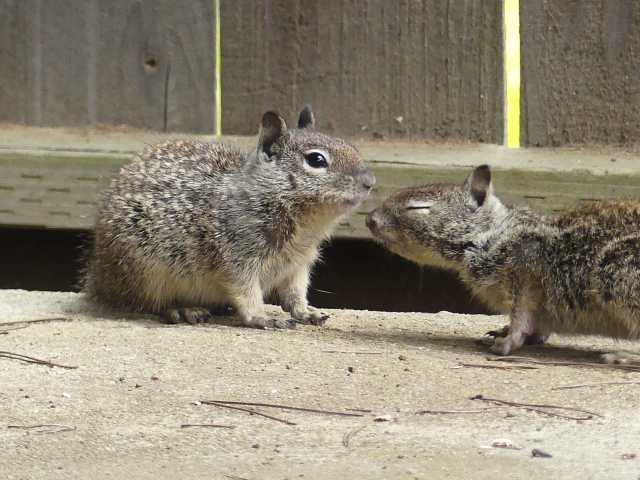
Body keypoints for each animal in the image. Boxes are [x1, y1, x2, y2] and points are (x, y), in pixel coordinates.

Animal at [83, 105, 375, 328]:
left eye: (352, 146)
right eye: (316, 160)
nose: (370, 182)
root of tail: (99, 277)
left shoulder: (297, 266)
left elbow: (295, 294)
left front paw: (307, 311)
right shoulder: (236, 258)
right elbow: (246, 292)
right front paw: (261, 317)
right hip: (145, 271)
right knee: (150, 303)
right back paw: (184, 309)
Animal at [366, 164, 640, 360]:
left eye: (417, 207)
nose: (369, 219)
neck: (494, 233)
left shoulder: (524, 264)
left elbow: (521, 311)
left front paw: (510, 340)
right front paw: (508, 332)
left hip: (615, 268)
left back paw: (625, 355)